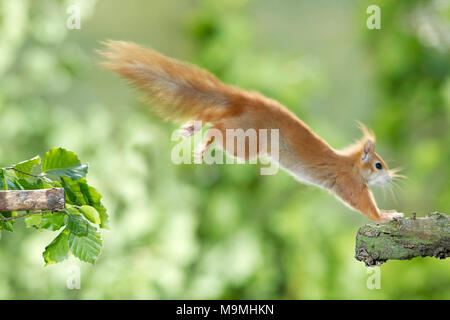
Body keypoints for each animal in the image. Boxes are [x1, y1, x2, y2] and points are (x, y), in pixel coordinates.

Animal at [100, 40, 406, 222]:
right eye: (379, 165)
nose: (392, 177)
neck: (351, 165)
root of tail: (248, 101)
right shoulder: (349, 184)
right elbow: (366, 208)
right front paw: (388, 215)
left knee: (210, 118)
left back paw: (191, 129)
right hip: (245, 143)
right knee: (216, 128)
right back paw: (201, 143)